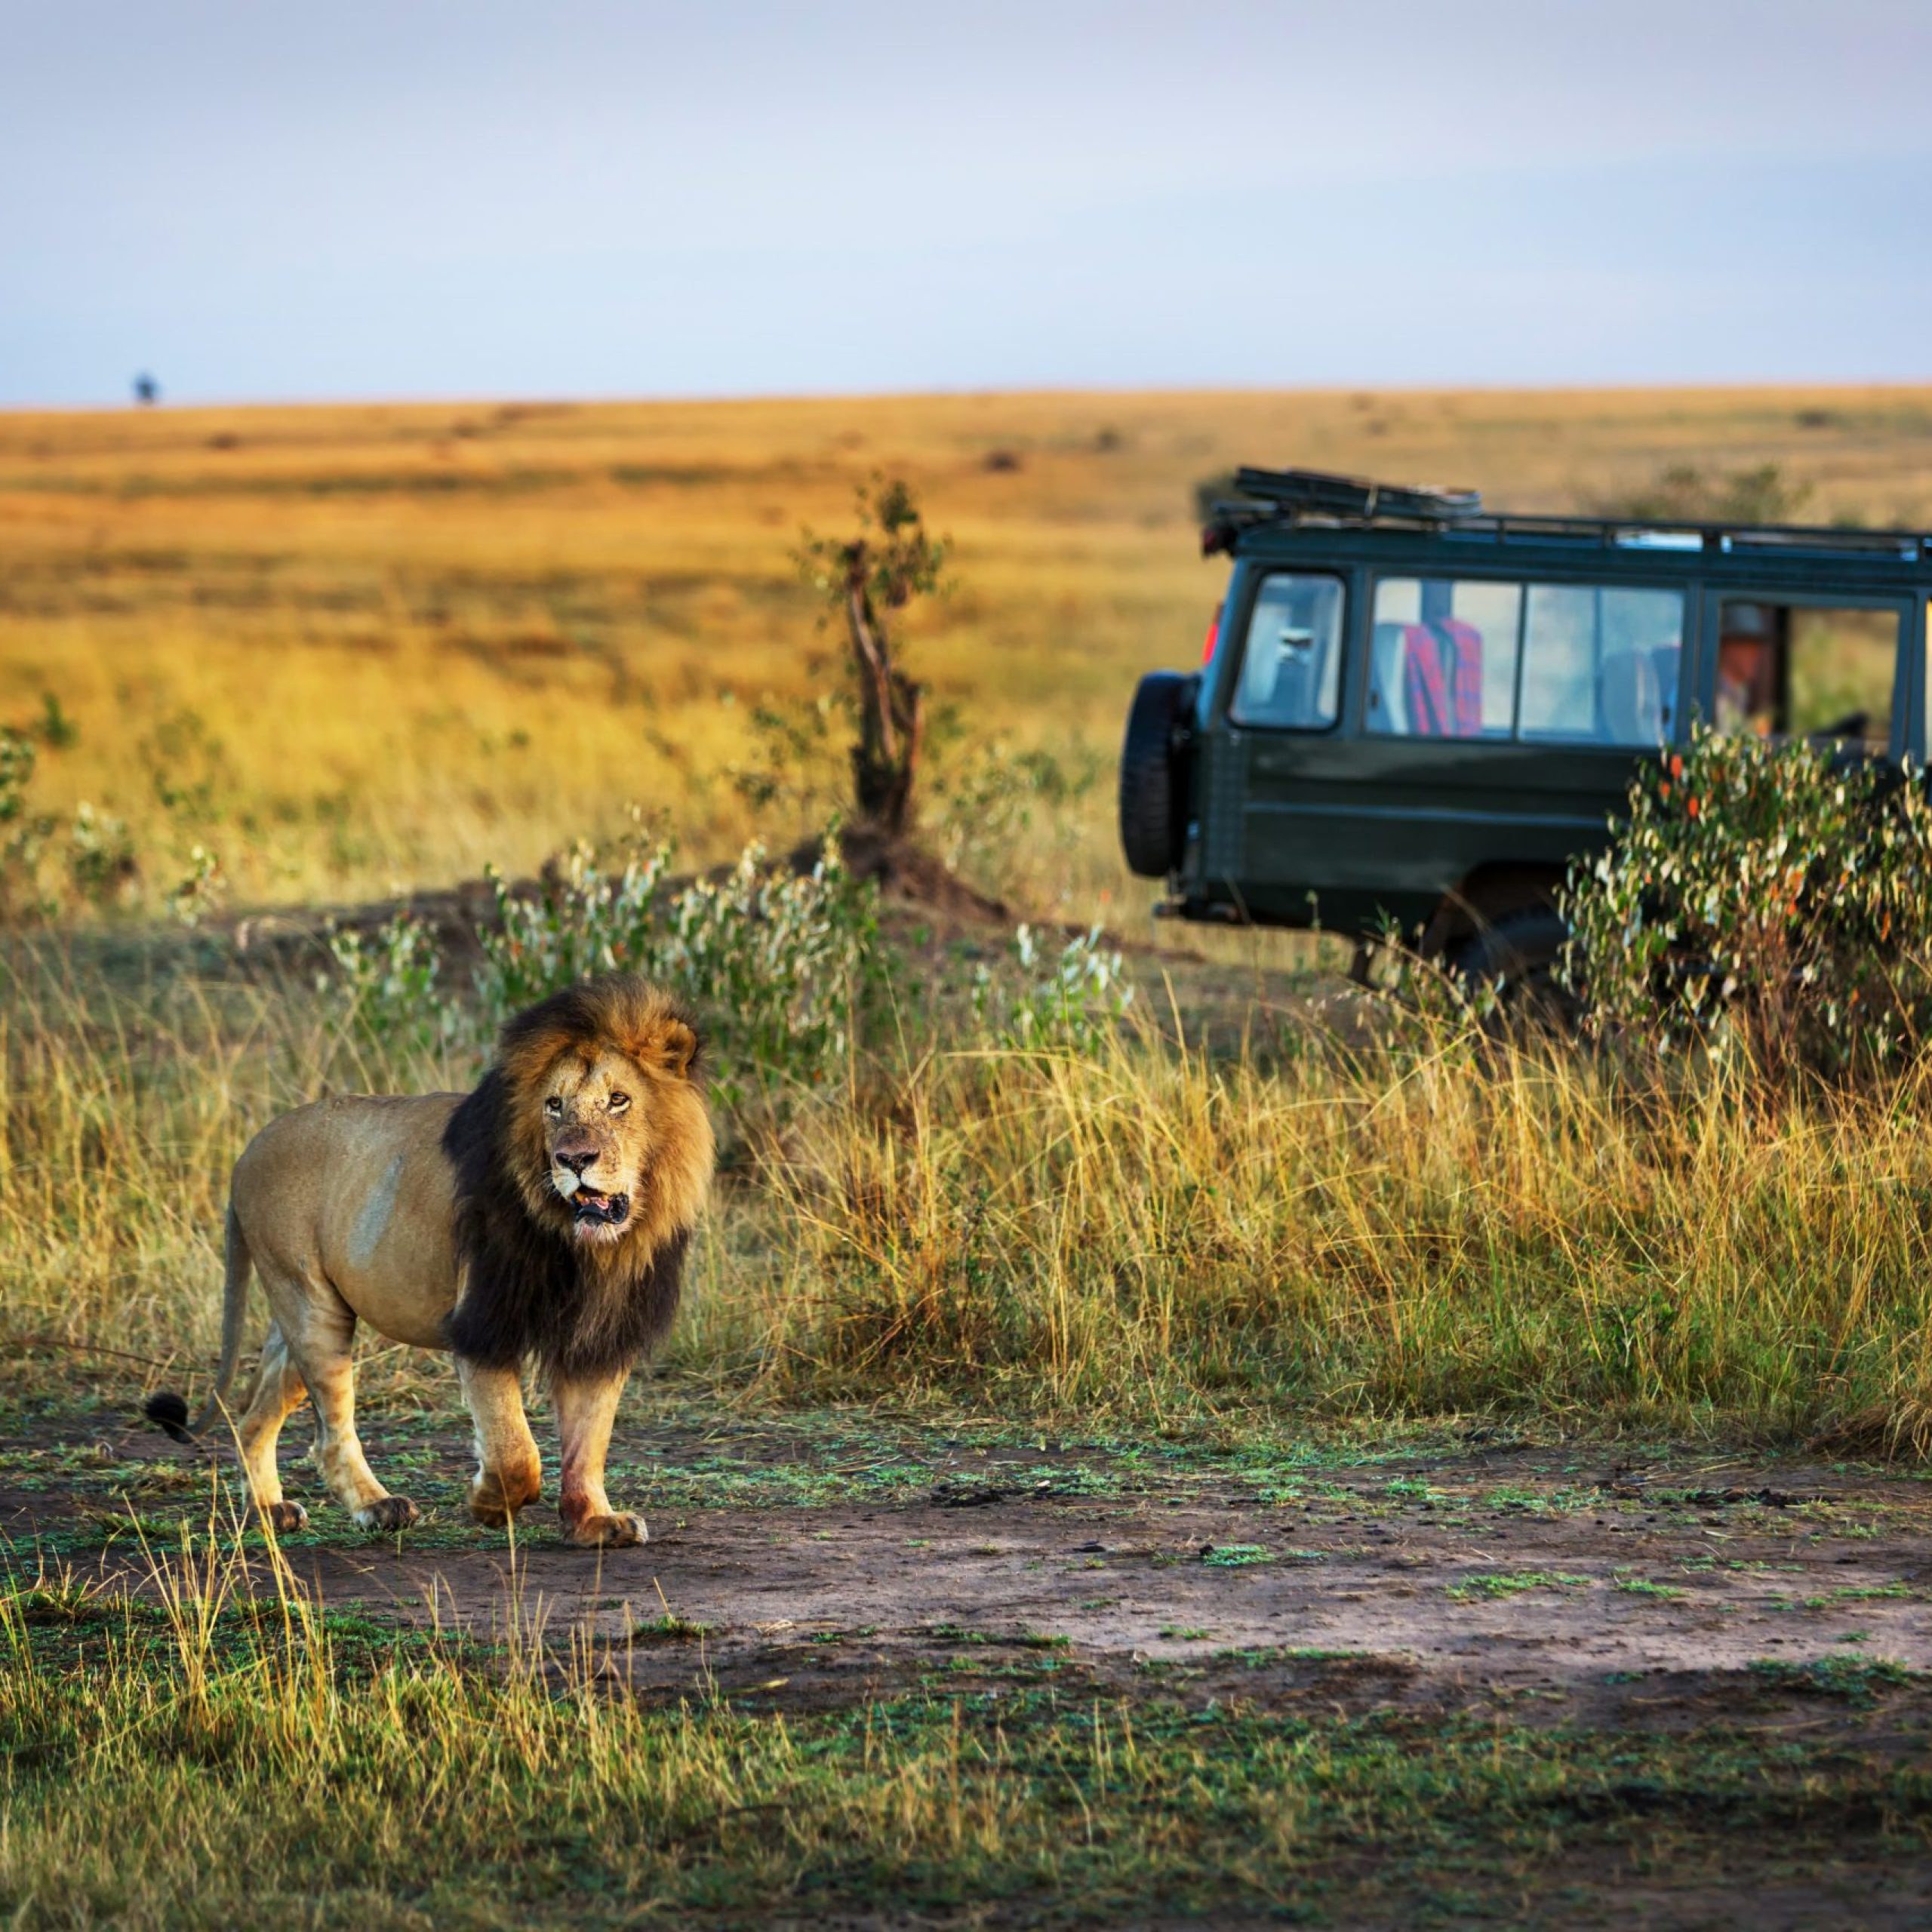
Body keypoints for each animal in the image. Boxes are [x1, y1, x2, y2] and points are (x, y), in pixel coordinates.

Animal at [144, 974, 714, 1547]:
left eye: (619, 1100)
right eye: (554, 1105)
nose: (572, 1159)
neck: (592, 1250)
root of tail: (249, 1150)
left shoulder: (602, 1331)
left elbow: (589, 1440)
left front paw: (593, 1521)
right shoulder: (482, 1322)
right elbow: (514, 1450)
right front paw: (489, 1503)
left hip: (297, 1316)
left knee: (252, 1414)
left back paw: (268, 1510)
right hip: (309, 1303)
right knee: (329, 1432)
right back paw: (378, 1508)